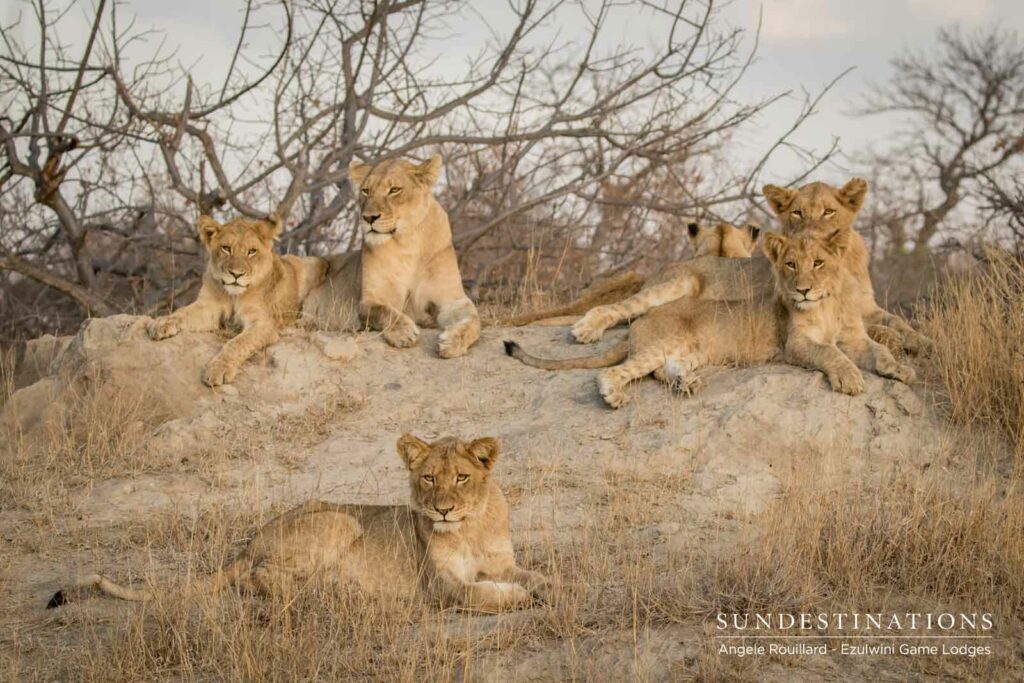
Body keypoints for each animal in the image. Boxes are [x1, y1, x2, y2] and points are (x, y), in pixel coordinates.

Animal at [47, 434, 550, 613]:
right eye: (428, 478)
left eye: (462, 478)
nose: (443, 510)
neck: (470, 527)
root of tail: (250, 543)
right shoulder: (438, 586)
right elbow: (479, 593)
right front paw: (517, 597)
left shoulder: (501, 562)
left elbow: (541, 576)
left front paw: (549, 589)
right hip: (340, 521)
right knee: (258, 579)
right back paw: (332, 592)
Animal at [146, 215, 328, 386]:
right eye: (226, 248)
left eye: (252, 251)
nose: (236, 274)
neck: (234, 296)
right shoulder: (208, 306)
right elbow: (182, 312)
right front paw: (161, 323)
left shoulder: (264, 324)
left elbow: (237, 343)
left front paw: (218, 370)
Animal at [302, 154, 481, 358]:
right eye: (366, 191)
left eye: (394, 190)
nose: (368, 218)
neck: (408, 244)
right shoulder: (370, 300)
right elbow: (385, 311)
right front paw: (405, 332)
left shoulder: (452, 299)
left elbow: (474, 320)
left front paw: (453, 341)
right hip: (312, 263)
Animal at [568, 179, 931, 355]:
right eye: (797, 212)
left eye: (829, 211)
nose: (810, 235)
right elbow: (877, 329)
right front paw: (896, 341)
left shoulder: (865, 305)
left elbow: (896, 320)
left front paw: (920, 341)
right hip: (674, 285)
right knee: (618, 307)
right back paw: (586, 329)